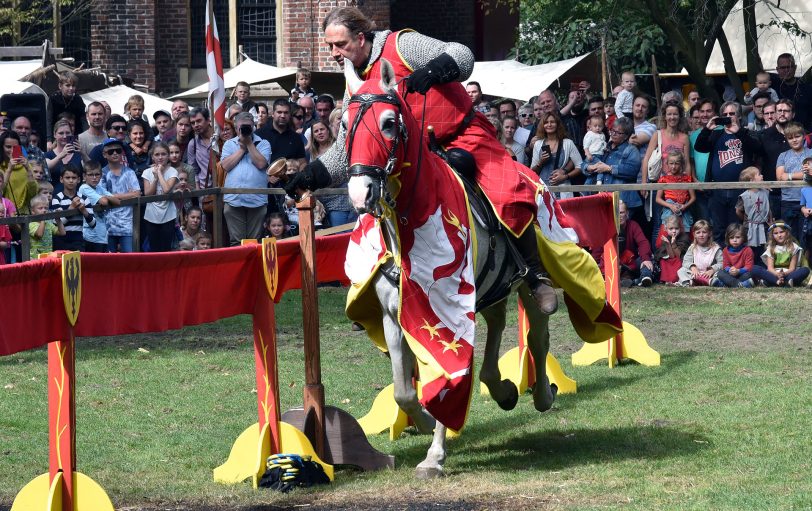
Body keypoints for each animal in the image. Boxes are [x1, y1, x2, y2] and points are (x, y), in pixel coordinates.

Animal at [342, 61, 560, 480]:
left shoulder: (448, 311)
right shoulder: (395, 317)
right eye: (345, 125)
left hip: (523, 280)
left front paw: (434, 456)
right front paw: (426, 421)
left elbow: (449, 374)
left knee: (538, 334)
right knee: (496, 323)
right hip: (489, 288)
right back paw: (502, 389)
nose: (361, 193)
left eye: (389, 123)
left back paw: (541, 393)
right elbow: (404, 390)